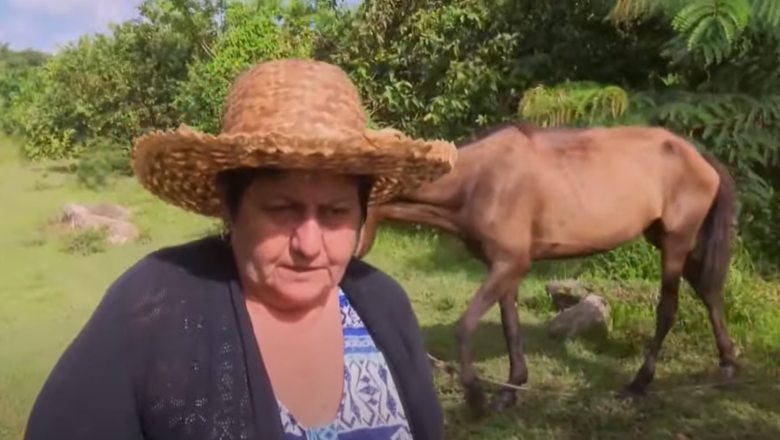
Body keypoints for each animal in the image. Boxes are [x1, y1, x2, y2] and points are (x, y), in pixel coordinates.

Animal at [356, 121, 740, 416]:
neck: (480, 182)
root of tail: (699, 157)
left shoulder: (511, 263)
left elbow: (464, 327)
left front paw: (477, 395)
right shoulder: (505, 268)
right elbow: (511, 327)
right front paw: (509, 391)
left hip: (675, 244)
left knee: (669, 309)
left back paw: (639, 383)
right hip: (668, 240)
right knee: (709, 292)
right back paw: (727, 362)